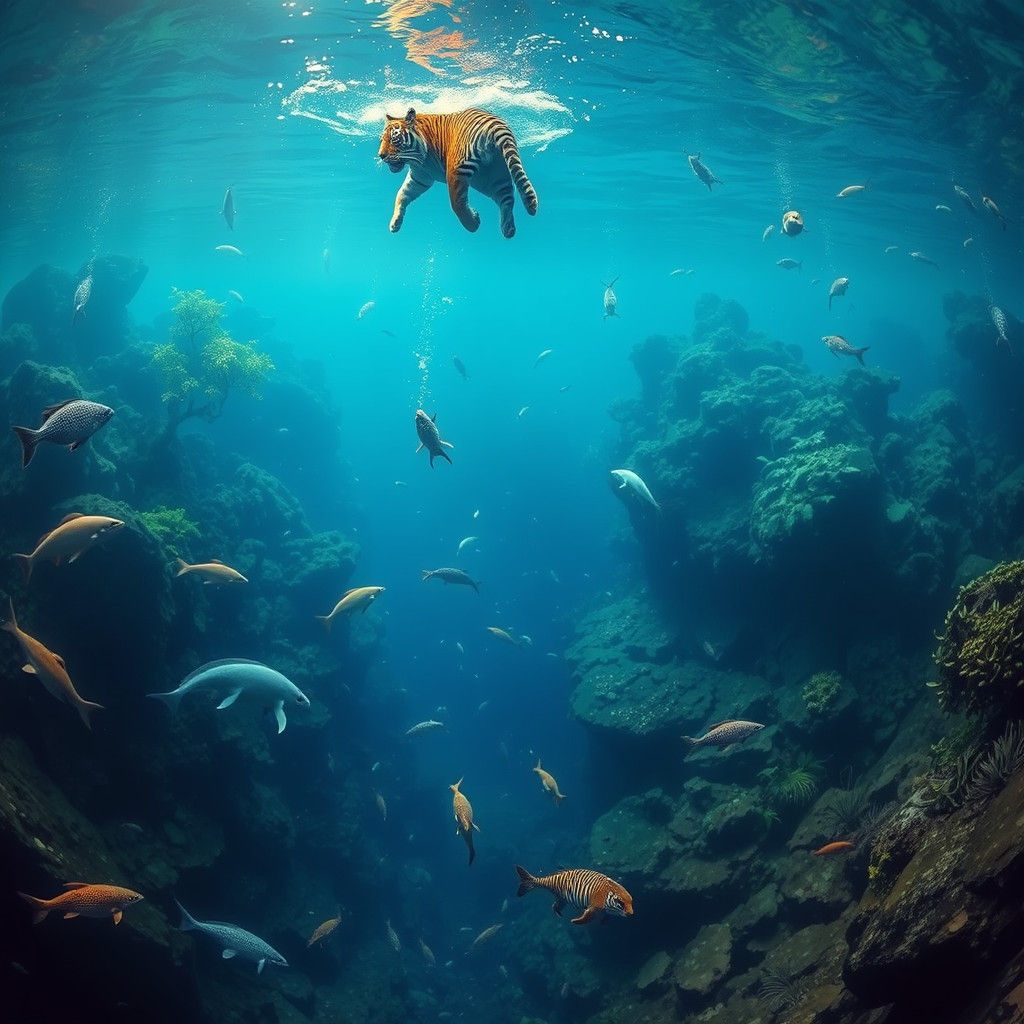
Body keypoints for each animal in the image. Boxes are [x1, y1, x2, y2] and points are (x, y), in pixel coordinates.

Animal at [378, 107, 539, 238]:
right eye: (382, 140)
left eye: (394, 138)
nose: (381, 155)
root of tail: (495, 123)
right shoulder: (420, 177)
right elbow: (402, 194)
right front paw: (394, 224)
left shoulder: (425, 175)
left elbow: (403, 194)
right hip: (494, 178)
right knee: (507, 198)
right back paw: (508, 228)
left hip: (458, 169)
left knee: (458, 203)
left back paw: (474, 223)